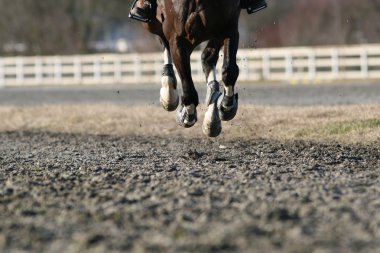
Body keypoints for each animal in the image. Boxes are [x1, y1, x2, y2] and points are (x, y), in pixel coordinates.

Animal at [132, 0, 245, 137]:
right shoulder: (177, 38)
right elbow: (187, 83)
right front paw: (187, 114)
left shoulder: (228, 29)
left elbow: (229, 70)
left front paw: (226, 105)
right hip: (151, 24)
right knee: (163, 40)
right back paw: (168, 91)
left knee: (207, 58)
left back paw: (212, 117)